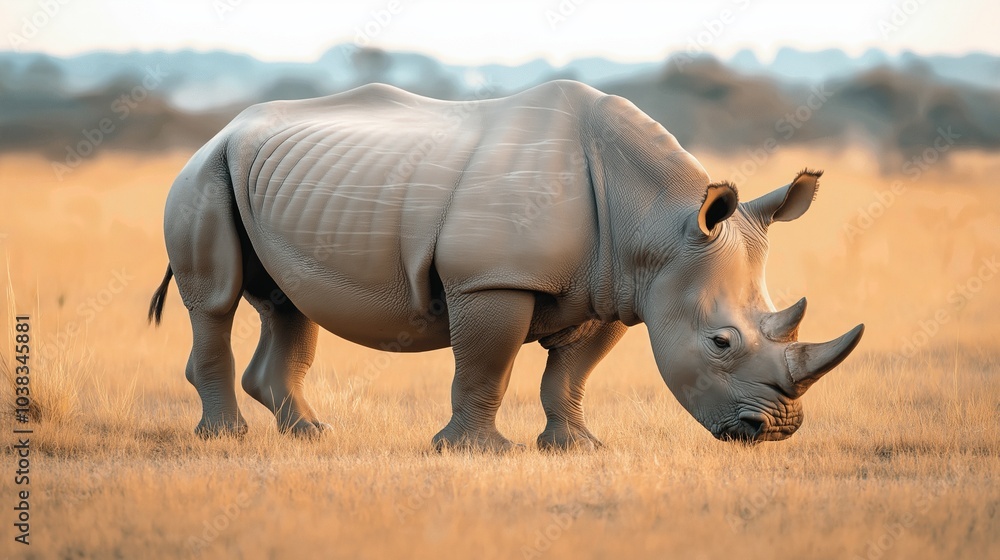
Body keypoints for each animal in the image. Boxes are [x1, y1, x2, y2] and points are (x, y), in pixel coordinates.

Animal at [148, 79, 864, 450]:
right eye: (720, 342)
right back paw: (226, 440)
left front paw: (577, 448)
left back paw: (311, 435)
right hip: (203, 174)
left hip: (269, 179)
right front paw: (473, 452)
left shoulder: (616, 288)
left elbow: (570, 374)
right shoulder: (490, 280)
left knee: (288, 303)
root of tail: (219, 130)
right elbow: (486, 363)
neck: (659, 223)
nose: (776, 431)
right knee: (215, 302)